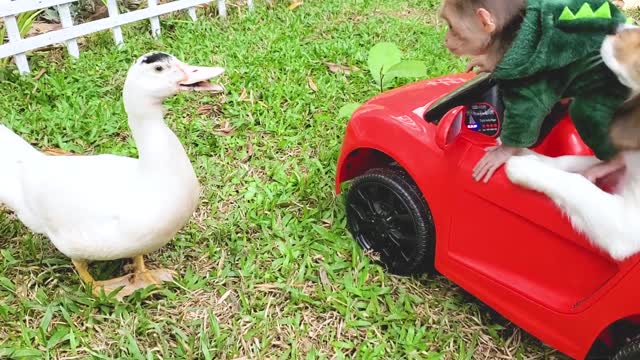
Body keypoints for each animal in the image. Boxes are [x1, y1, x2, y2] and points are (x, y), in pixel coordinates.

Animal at [440, 0, 632, 183]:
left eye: (452, 27)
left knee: (587, 113)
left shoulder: (524, 69)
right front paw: (484, 63)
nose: (446, 40)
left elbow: (526, 109)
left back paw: (612, 162)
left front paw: (501, 153)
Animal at [502, 25, 640, 262]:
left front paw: (525, 167)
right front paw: (531, 157)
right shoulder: (622, 163)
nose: (617, 27)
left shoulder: (627, 225)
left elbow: (579, 184)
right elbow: (573, 162)